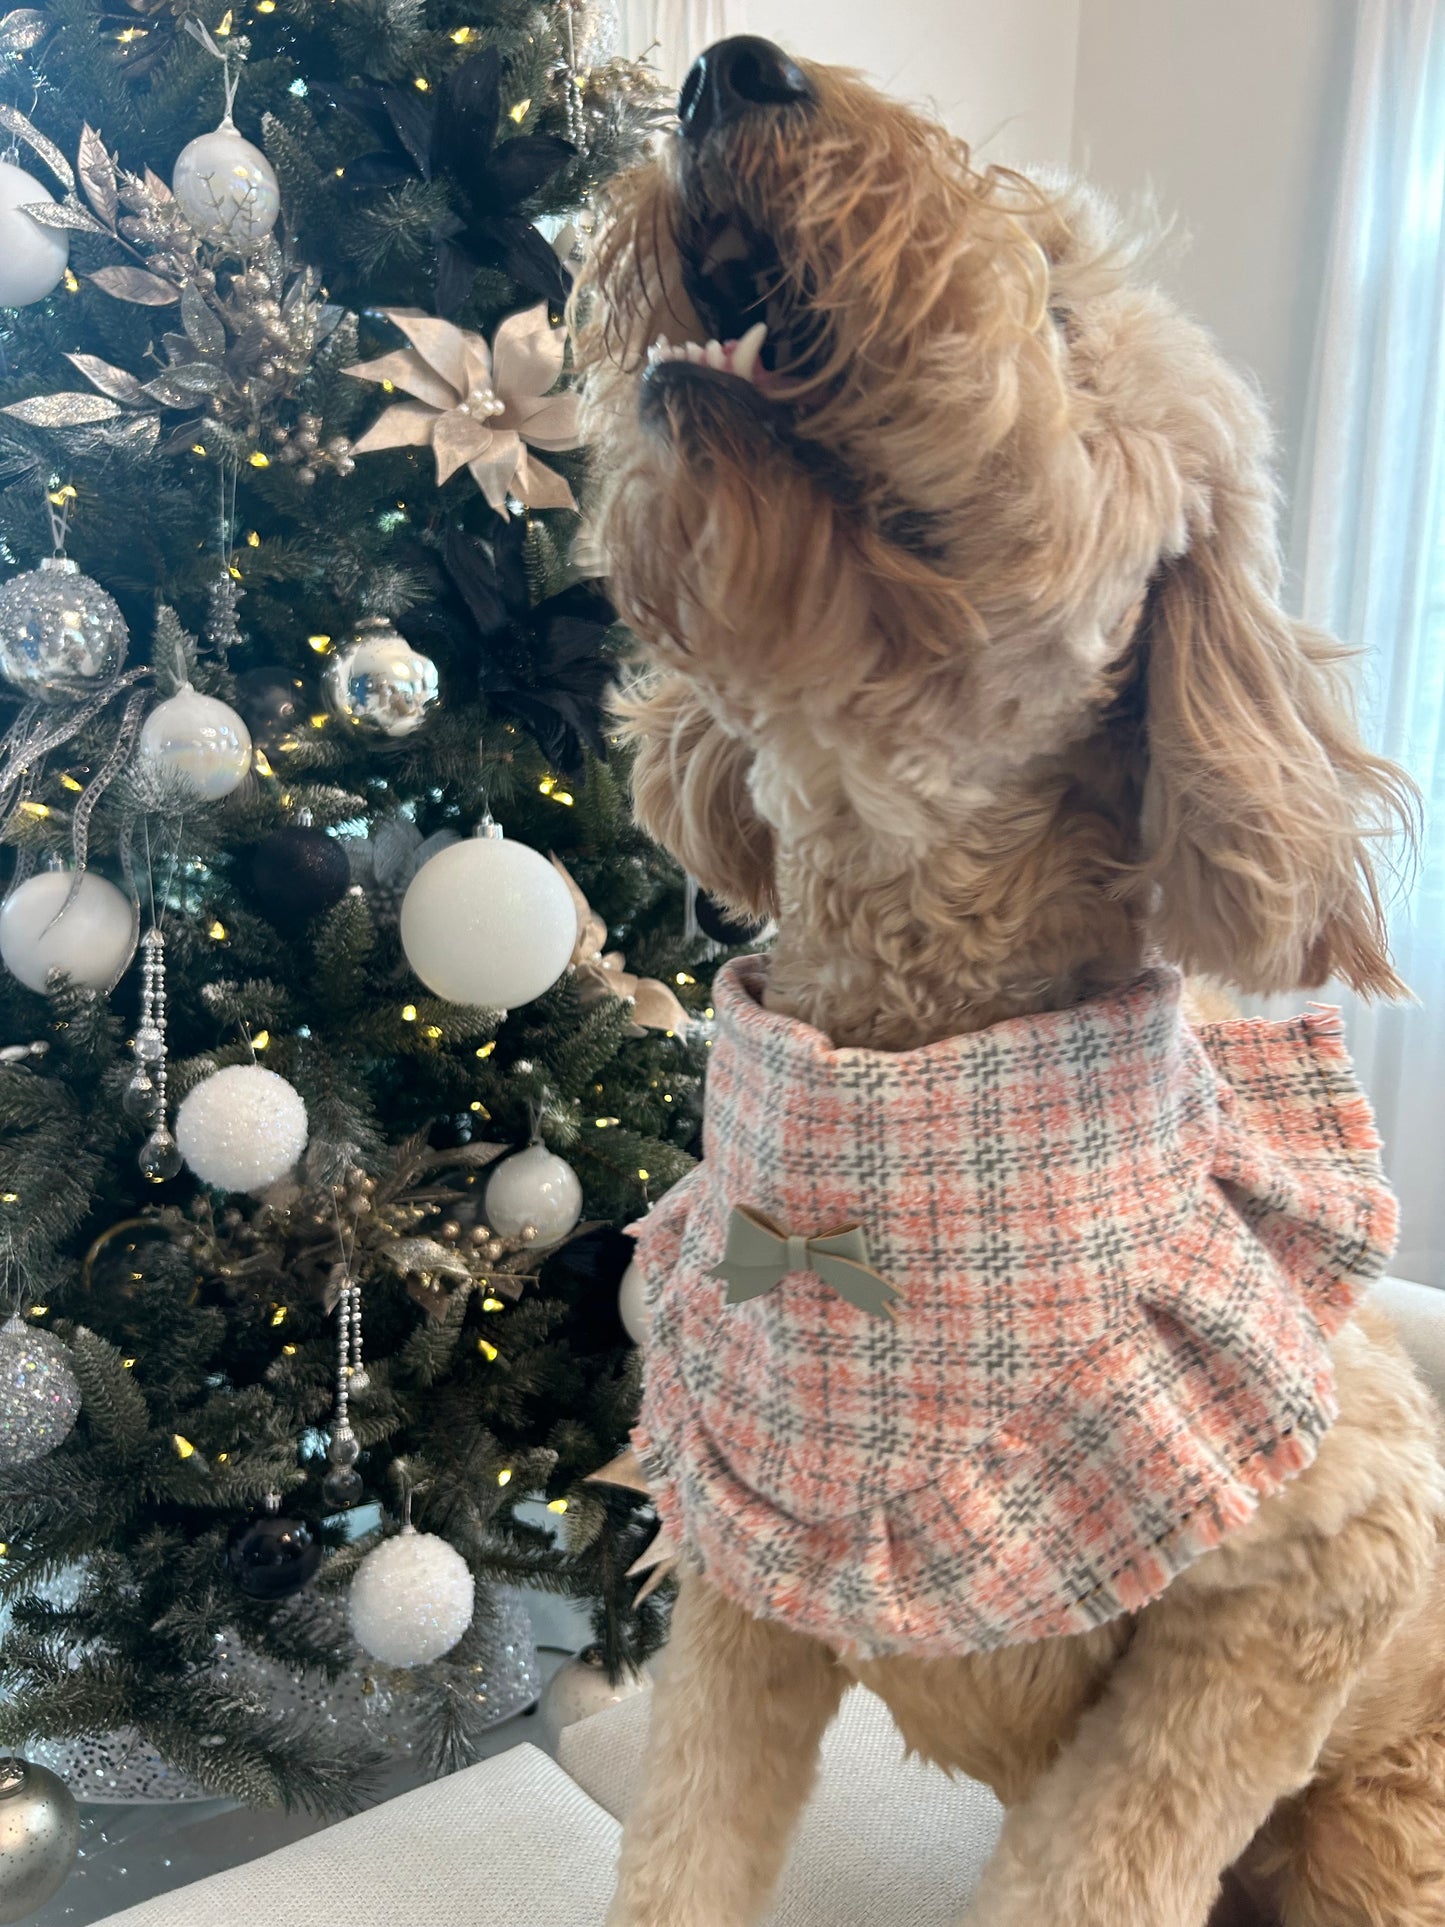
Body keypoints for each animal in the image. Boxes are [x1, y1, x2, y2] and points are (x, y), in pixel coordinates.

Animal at [570, 41, 1441, 1927]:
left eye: (1055, 310)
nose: (732, 66)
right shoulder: (748, 1557)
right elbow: (681, 1839)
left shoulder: (1315, 1572)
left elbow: (1092, 1869)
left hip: (1375, 1831)